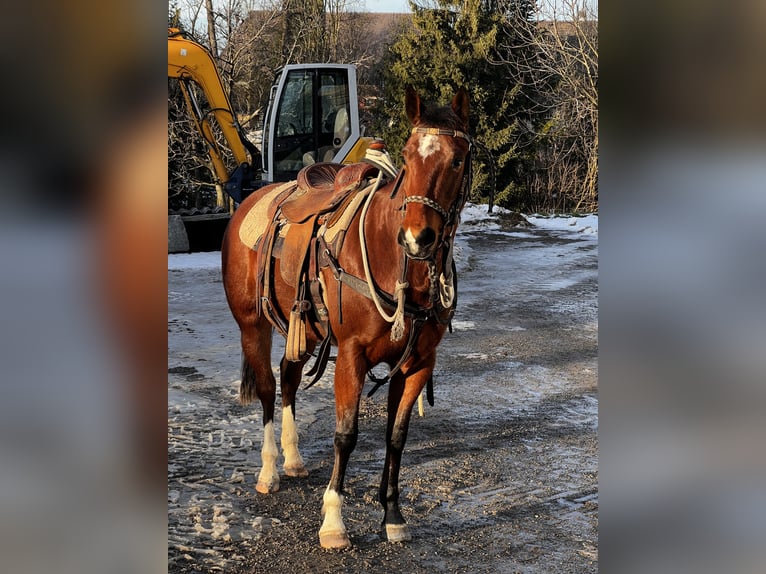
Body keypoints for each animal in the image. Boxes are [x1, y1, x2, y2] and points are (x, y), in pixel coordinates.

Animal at [221, 85, 472, 549]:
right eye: (407, 156)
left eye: (458, 159)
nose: (418, 237)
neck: (396, 264)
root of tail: (250, 200)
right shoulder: (352, 356)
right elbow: (346, 436)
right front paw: (334, 522)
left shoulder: (418, 363)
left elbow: (396, 436)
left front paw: (392, 514)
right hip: (252, 325)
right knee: (267, 388)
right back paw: (269, 470)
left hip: (304, 329)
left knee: (288, 377)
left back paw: (294, 458)